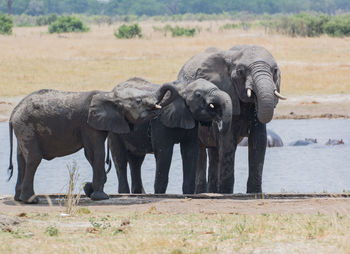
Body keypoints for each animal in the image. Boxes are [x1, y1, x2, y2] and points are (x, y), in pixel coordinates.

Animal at [7, 80, 178, 203]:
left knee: (21, 159)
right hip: (27, 126)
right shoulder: (89, 124)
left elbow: (90, 154)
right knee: (33, 158)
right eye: (139, 100)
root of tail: (13, 112)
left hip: (23, 129)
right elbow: (97, 153)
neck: (110, 96)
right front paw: (101, 197)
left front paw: (89, 189)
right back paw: (31, 200)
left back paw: (18, 198)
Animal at [83, 77, 232, 194]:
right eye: (198, 95)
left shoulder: (191, 121)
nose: (218, 122)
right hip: (115, 130)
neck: (184, 86)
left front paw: (188, 194)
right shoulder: (160, 124)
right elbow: (164, 153)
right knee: (121, 160)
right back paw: (124, 193)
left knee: (136, 161)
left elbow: (190, 152)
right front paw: (160, 193)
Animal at [178, 44, 288, 193]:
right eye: (241, 71)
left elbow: (259, 140)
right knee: (201, 152)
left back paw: (212, 191)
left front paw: (254, 193)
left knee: (214, 153)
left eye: (275, 70)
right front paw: (226, 192)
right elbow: (228, 142)